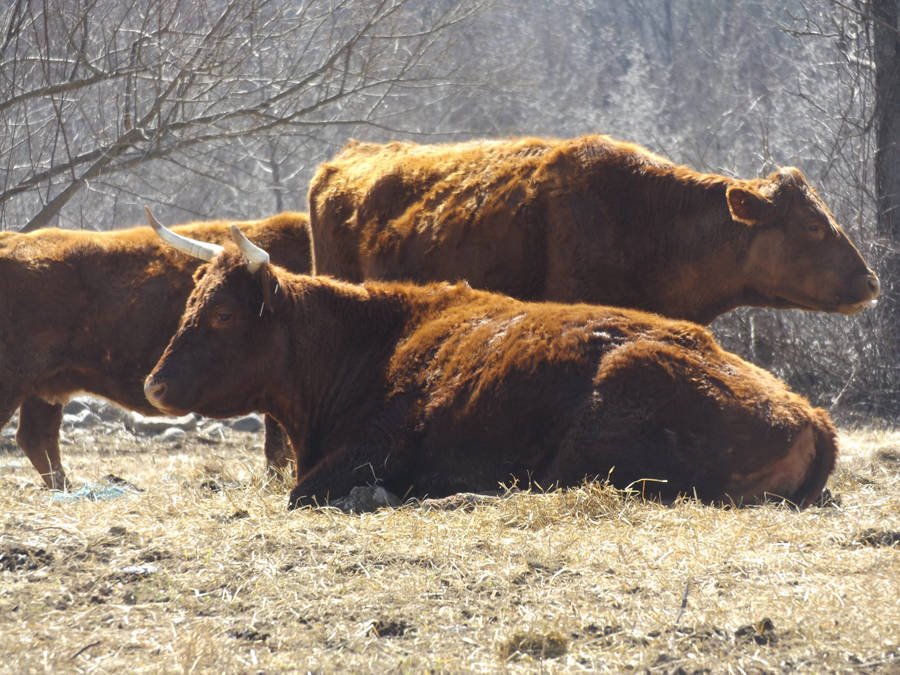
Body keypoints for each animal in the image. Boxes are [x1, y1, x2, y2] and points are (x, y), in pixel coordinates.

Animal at [0, 213, 314, 492]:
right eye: (222, 313)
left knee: (37, 437)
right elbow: (279, 446)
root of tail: (10, 240)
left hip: (43, 389)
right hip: (15, 383)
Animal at [144, 224, 840, 510]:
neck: (369, 343)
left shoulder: (371, 450)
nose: (155, 384)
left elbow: (302, 491)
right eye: (191, 303)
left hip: (596, 441)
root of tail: (809, 413)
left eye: (226, 315)